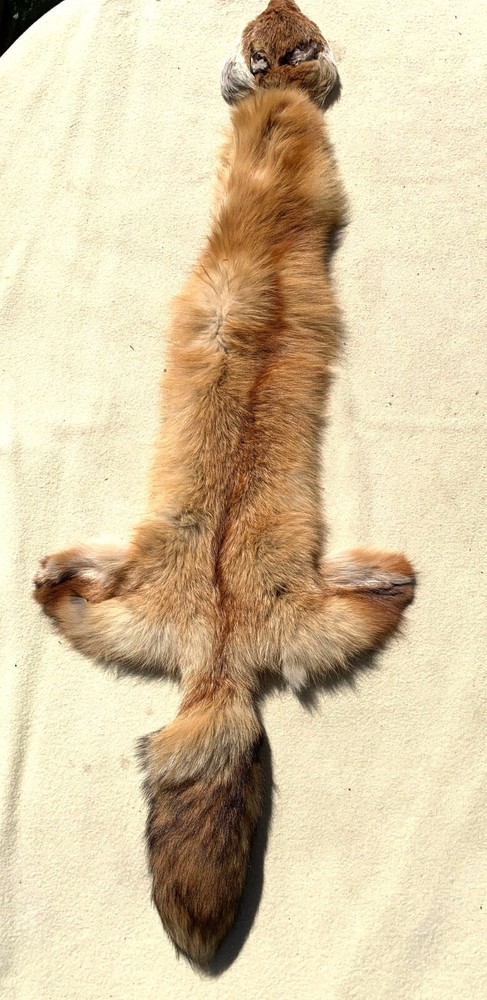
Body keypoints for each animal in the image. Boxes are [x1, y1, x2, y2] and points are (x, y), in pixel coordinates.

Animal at [33, 0, 415, 968]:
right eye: (266, 26)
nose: (278, 4)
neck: (276, 133)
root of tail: (215, 653)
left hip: (131, 593)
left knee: (66, 596)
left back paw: (51, 567)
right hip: (304, 602)